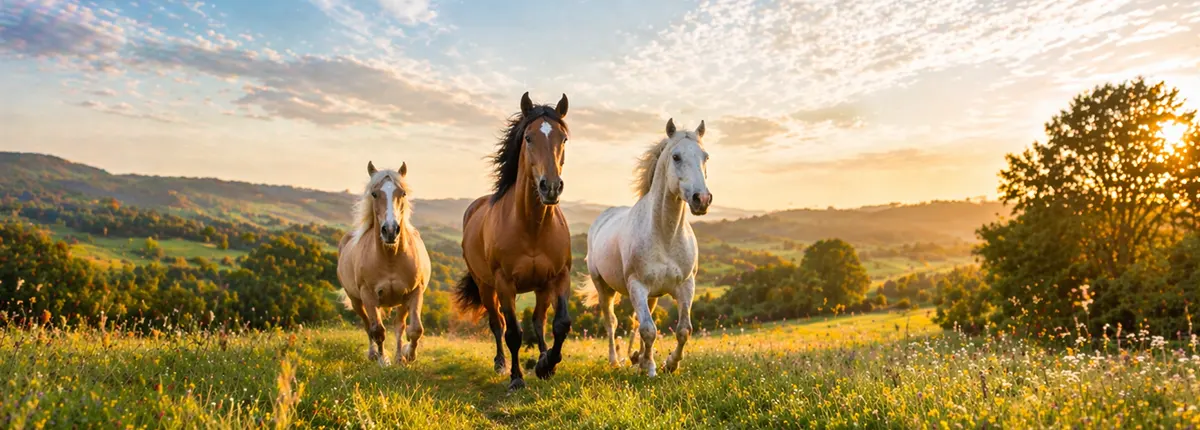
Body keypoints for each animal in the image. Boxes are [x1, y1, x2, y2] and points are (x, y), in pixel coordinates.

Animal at [337, 161, 432, 366]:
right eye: (374, 194)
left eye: (402, 193)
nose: (390, 230)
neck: (391, 258)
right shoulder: (368, 295)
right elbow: (377, 331)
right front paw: (383, 360)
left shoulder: (415, 292)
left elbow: (415, 329)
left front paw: (408, 356)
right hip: (357, 301)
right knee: (368, 326)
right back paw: (374, 354)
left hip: (401, 301)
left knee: (399, 326)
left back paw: (399, 357)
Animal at [454, 92, 573, 391]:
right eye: (528, 138)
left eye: (563, 139)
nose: (550, 187)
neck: (532, 227)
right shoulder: (504, 283)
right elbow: (513, 334)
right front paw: (516, 378)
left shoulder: (559, 277)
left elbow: (560, 324)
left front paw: (547, 364)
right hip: (486, 286)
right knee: (497, 324)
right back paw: (500, 364)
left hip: (541, 287)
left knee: (539, 321)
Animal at [579, 118, 712, 377]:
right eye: (676, 157)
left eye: (705, 156)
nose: (701, 199)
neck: (665, 236)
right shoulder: (637, 286)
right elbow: (648, 329)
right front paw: (650, 368)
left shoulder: (686, 285)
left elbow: (683, 330)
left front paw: (669, 363)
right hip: (604, 287)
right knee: (611, 323)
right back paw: (616, 361)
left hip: (652, 294)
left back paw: (637, 358)